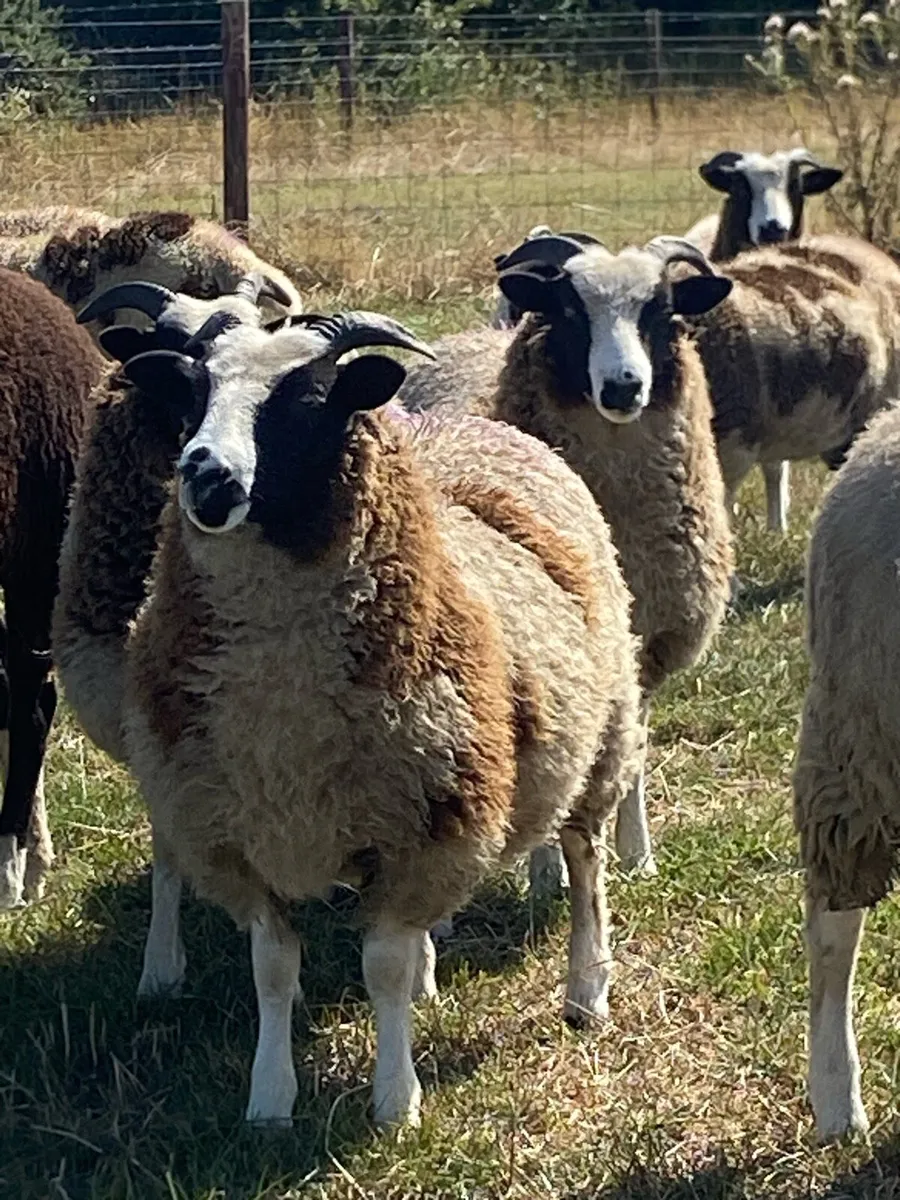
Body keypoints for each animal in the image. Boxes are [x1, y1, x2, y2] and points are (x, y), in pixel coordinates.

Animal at [59, 294, 643, 1127]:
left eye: (308, 399)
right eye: (193, 396)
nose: (204, 475)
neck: (283, 717)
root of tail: (479, 427)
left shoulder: (420, 826)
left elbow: (383, 968)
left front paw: (396, 1100)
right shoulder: (241, 832)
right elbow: (273, 968)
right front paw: (270, 1098)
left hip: (598, 740)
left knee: (585, 861)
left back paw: (587, 989)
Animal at [406, 233, 735, 880]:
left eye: (661, 310)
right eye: (570, 311)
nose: (624, 387)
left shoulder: (642, 647)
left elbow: (631, 753)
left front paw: (637, 853)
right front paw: (544, 874)